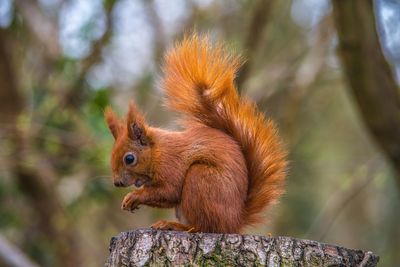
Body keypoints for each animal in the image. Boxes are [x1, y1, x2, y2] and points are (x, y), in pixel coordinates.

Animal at [104, 34, 288, 233]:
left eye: (129, 159)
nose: (117, 183)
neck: (157, 151)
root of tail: (234, 222)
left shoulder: (171, 164)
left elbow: (169, 191)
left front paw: (133, 197)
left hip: (200, 180)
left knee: (203, 226)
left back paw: (173, 225)